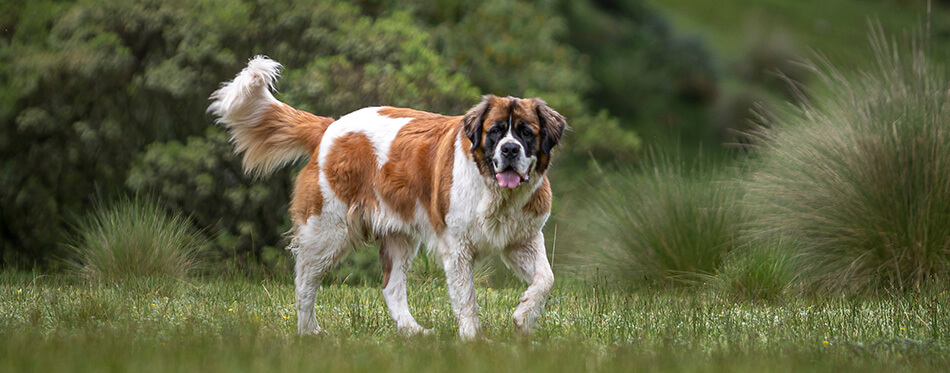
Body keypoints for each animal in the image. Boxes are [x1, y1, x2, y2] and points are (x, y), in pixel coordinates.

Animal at [208, 56, 564, 340]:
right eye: (495, 132)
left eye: (526, 133)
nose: (510, 150)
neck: (495, 192)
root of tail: (329, 128)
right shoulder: (458, 248)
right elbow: (467, 298)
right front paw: (474, 339)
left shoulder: (523, 239)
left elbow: (546, 278)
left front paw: (523, 317)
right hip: (327, 231)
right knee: (305, 280)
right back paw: (309, 331)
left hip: (398, 235)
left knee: (391, 287)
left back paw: (412, 331)